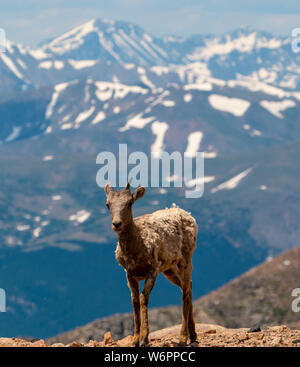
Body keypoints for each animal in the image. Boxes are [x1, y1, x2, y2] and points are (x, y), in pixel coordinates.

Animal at [104, 183, 198, 348]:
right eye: (107, 204)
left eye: (129, 203)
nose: (117, 224)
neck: (136, 248)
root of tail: (187, 214)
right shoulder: (129, 274)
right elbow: (135, 300)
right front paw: (135, 340)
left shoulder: (152, 271)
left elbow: (143, 298)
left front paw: (144, 339)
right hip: (169, 269)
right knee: (188, 286)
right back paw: (193, 336)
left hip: (186, 259)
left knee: (185, 291)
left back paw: (183, 338)